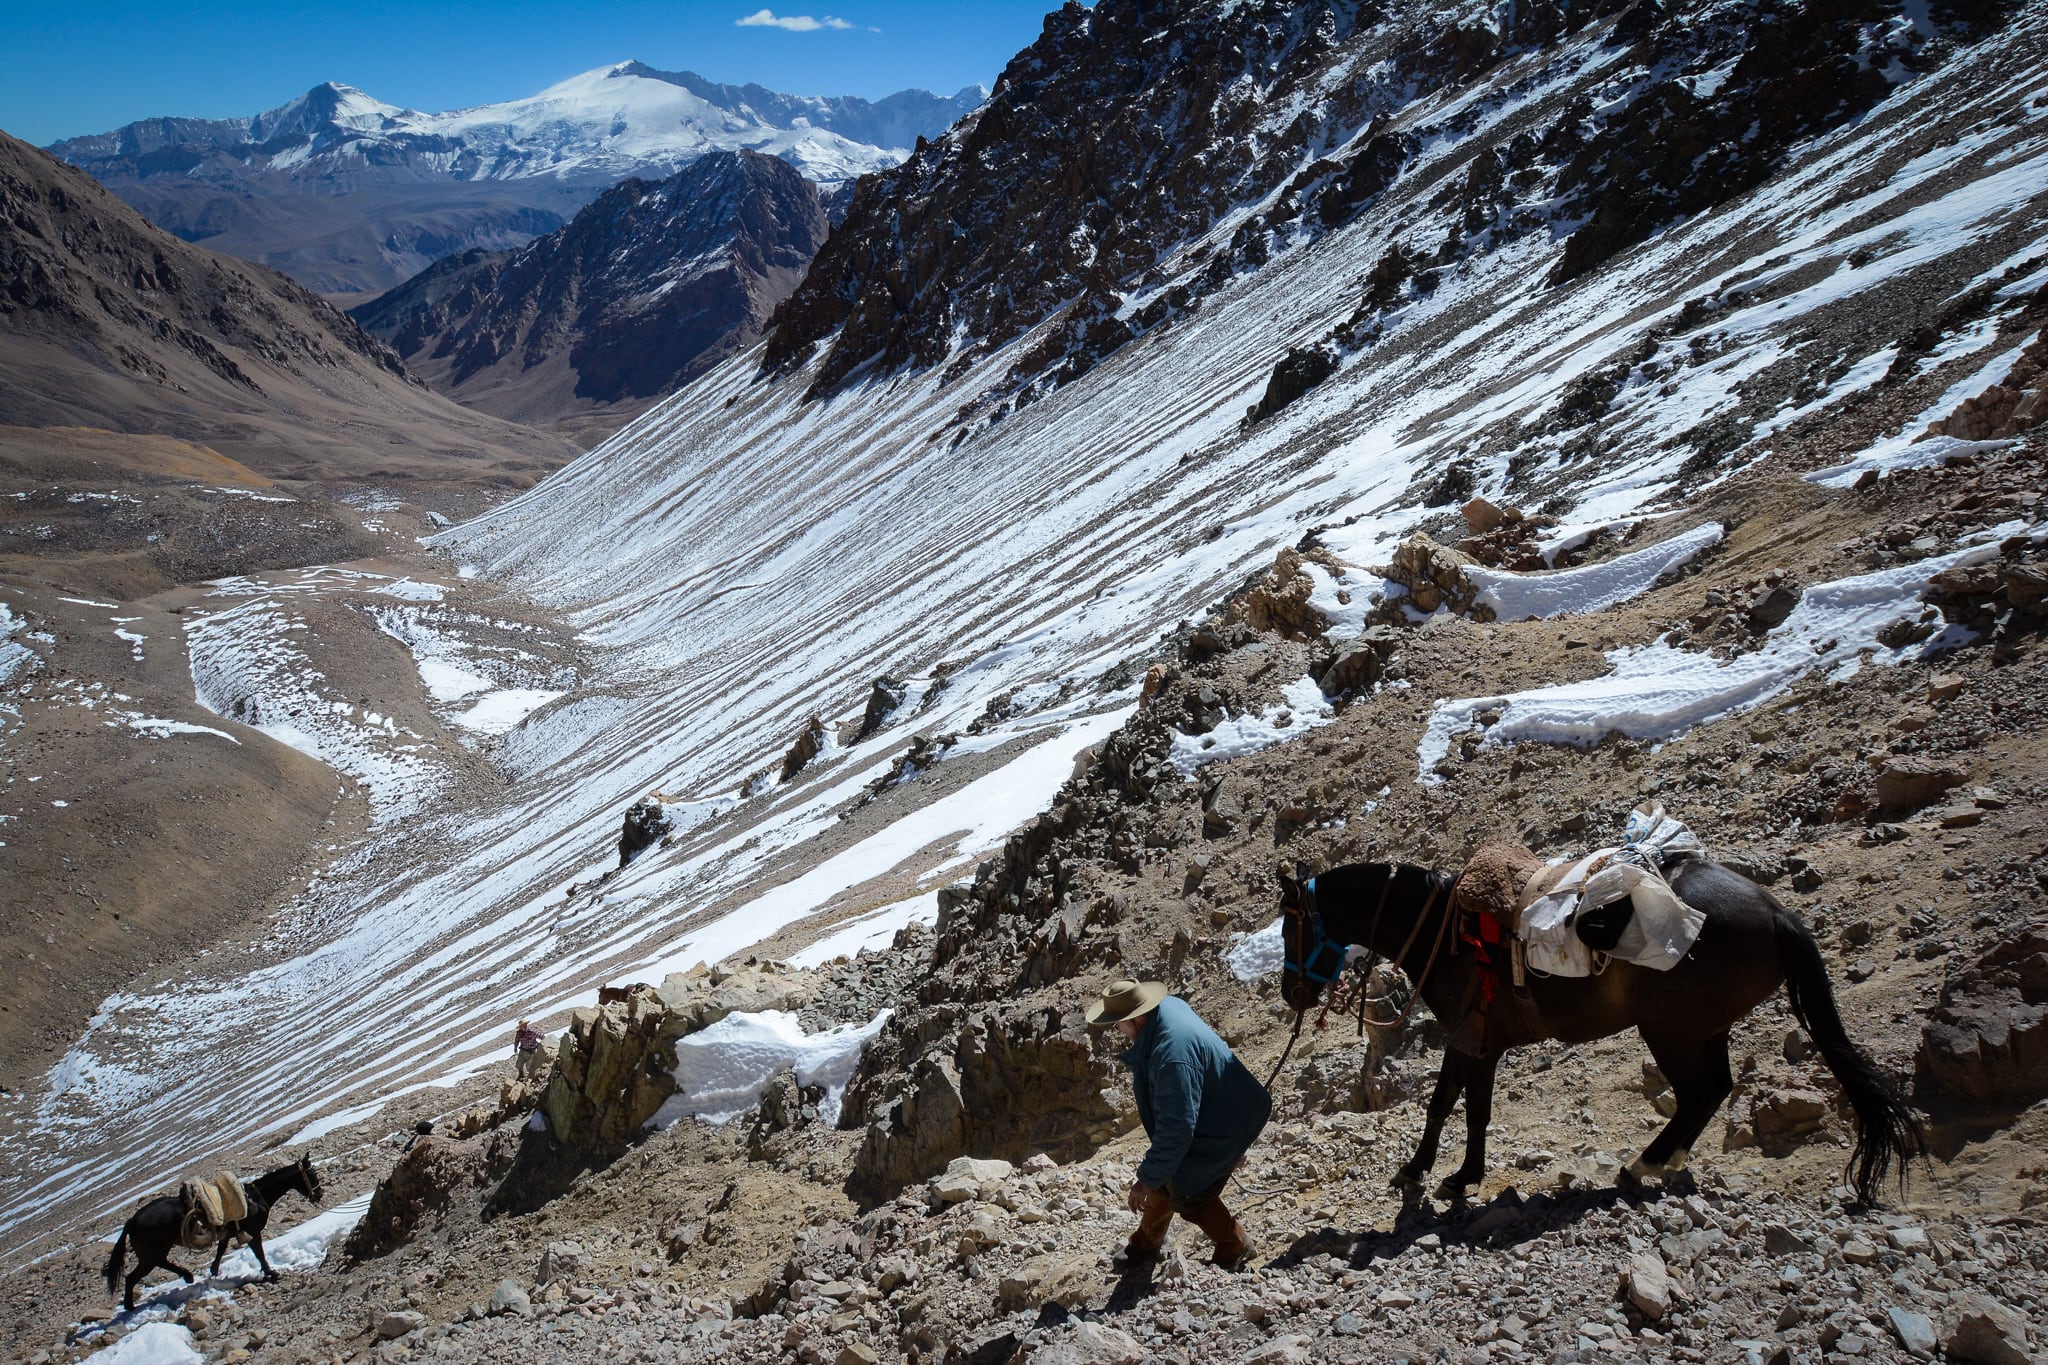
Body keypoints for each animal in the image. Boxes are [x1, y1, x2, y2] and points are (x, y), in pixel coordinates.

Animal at [102, 1154, 321, 1309]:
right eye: (311, 1174)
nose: (319, 1194)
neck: (255, 1198)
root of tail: (132, 1221)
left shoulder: (229, 1233)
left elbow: (221, 1250)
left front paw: (214, 1272)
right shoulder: (253, 1233)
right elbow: (259, 1253)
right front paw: (272, 1273)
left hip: (156, 1252)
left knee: (161, 1263)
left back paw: (188, 1276)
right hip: (151, 1254)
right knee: (133, 1277)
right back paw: (130, 1307)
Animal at [1277, 863, 1916, 1203]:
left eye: (1290, 929)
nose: (1291, 994)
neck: (1446, 933)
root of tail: (1776, 912)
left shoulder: (1478, 1042)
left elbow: (1471, 1109)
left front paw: (1459, 1177)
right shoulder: (1466, 1038)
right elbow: (1444, 1104)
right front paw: (1420, 1170)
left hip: (1671, 1031)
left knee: (1699, 1092)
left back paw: (1642, 1165)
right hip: (1703, 1030)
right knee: (1714, 1089)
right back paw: (1666, 1161)